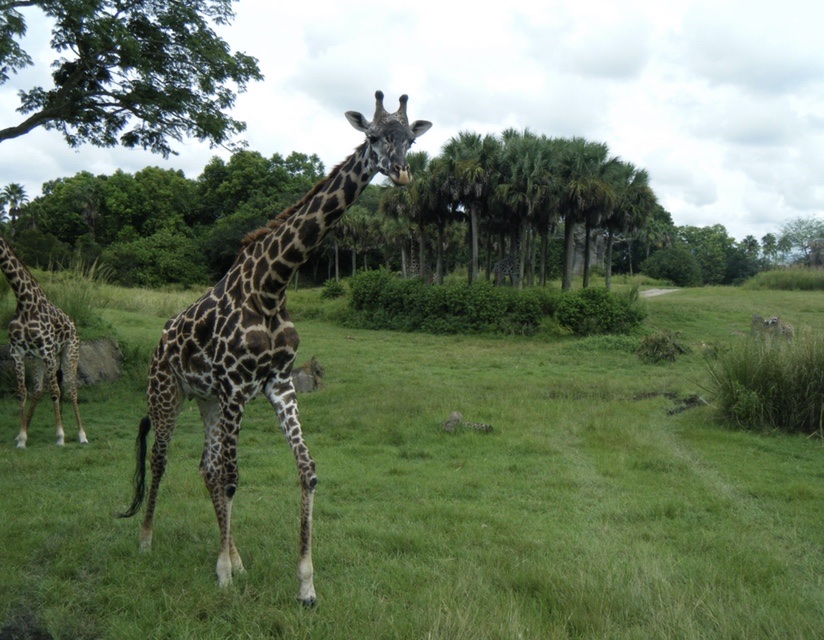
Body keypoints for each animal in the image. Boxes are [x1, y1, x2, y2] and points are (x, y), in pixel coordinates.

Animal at [0, 234, 86, 448]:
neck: (24, 301)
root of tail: (73, 324)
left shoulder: (47, 350)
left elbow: (55, 392)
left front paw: (60, 436)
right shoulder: (17, 351)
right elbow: (22, 392)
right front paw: (21, 437)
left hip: (68, 353)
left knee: (70, 389)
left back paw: (82, 435)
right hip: (38, 358)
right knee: (38, 390)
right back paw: (25, 431)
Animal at [119, 91, 431, 604]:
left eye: (410, 139)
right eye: (372, 136)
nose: (401, 172)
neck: (273, 284)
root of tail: (161, 340)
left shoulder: (277, 383)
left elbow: (306, 470)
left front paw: (304, 584)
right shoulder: (235, 386)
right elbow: (232, 479)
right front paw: (223, 575)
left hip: (206, 400)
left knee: (205, 466)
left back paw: (237, 556)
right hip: (168, 392)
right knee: (163, 458)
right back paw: (146, 542)